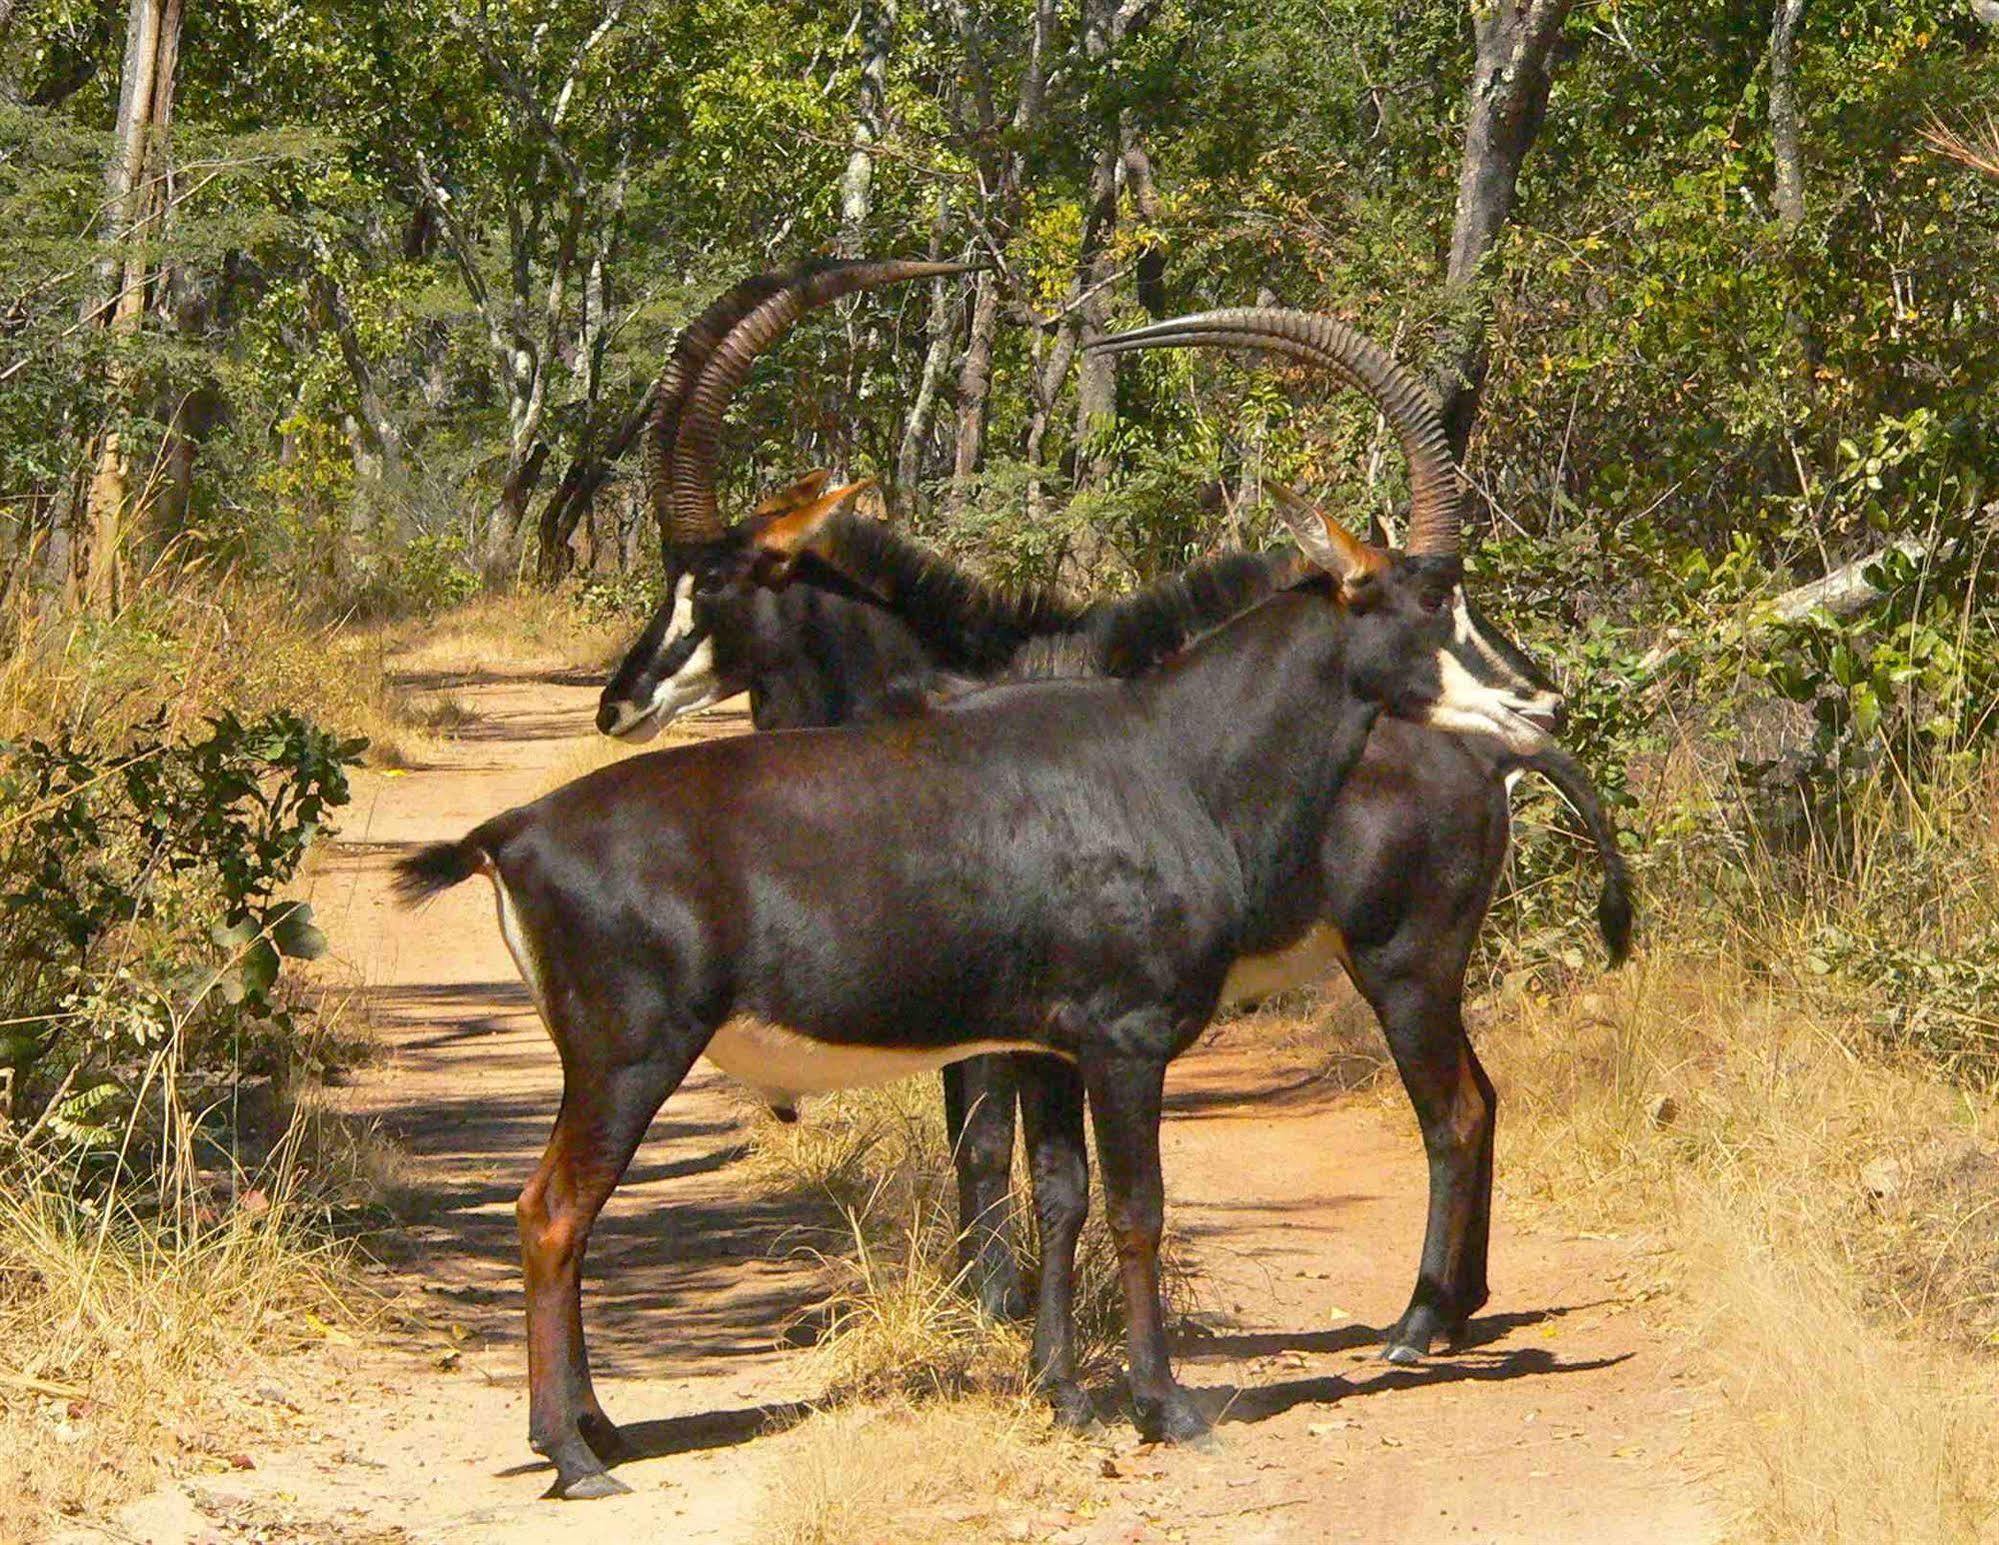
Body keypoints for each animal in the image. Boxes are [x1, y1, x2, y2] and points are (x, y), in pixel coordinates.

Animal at [401, 307, 1591, 1487]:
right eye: (1427, 602)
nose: (1540, 701)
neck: (1172, 752)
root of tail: (513, 832)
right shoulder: (1123, 1040)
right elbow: (1135, 1208)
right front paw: (1163, 1404)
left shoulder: (1044, 1044)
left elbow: (1060, 1194)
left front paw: (1061, 1389)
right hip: (628, 1057)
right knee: (551, 1213)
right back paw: (575, 1449)